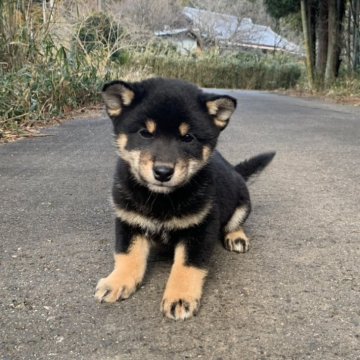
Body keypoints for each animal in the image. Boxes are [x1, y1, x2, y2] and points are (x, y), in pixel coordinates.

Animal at [94, 77, 274, 320]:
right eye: (145, 133)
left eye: (188, 138)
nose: (162, 172)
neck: (162, 199)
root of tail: (234, 170)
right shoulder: (128, 219)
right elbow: (127, 254)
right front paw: (117, 281)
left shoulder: (201, 228)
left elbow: (187, 266)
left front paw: (180, 297)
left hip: (243, 201)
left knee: (235, 222)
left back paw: (236, 236)